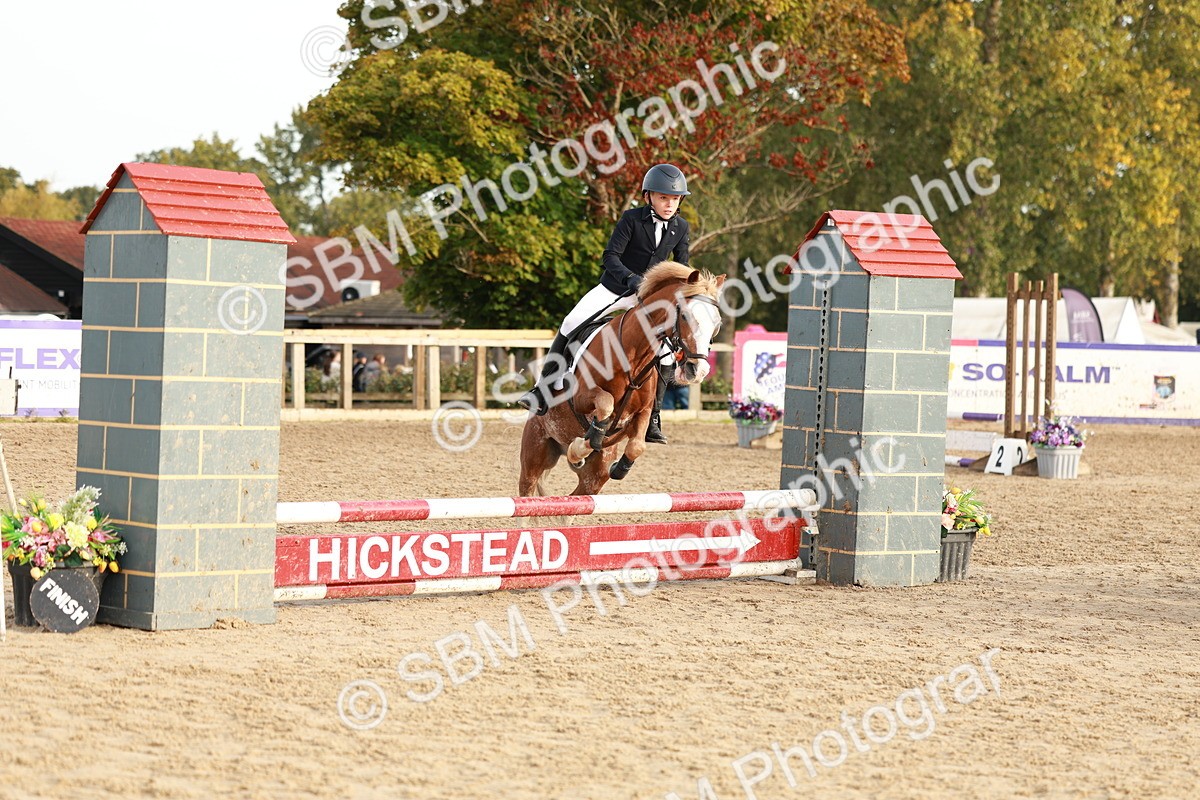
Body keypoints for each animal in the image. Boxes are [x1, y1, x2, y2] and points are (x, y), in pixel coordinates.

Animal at [519, 261, 725, 497]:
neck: (632, 357)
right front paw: (580, 448)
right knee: (528, 489)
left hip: (594, 477)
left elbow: (637, 446)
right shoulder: (581, 397)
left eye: (717, 325)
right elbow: (605, 404)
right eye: (685, 316)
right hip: (535, 452)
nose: (697, 370)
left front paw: (617, 466)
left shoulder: (643, 412)